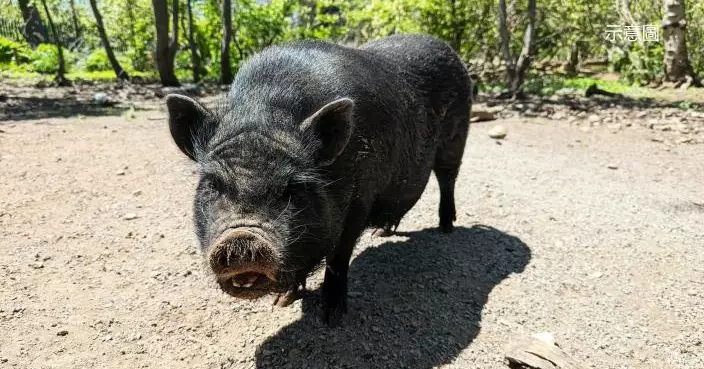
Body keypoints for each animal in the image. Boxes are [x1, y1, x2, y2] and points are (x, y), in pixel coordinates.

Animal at [167, 33, 470, 324]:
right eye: (212, 184)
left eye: (292, 188)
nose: (241, 238)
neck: (267, 111)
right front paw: (282, 302)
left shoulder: (360, 200)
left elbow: (338, 257)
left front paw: (332, 317)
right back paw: (381, 232)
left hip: (456, 138)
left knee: (447, 179)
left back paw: (445, 228)